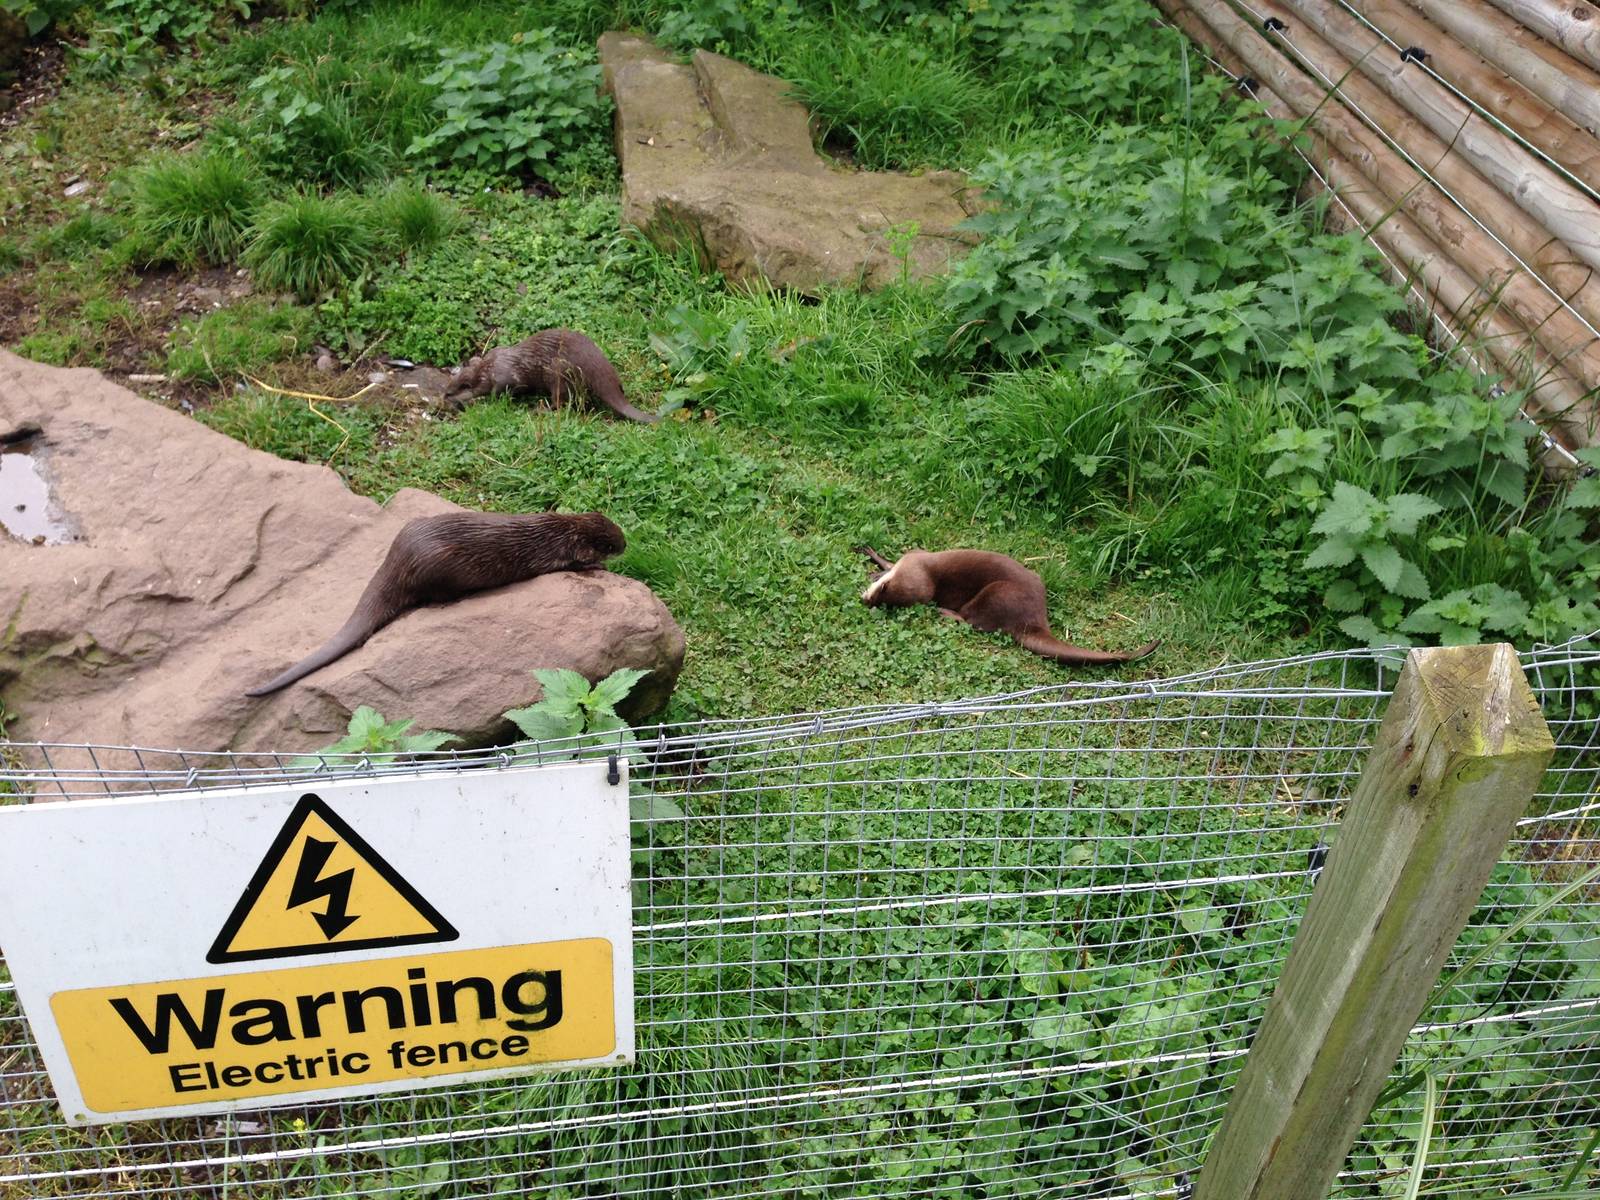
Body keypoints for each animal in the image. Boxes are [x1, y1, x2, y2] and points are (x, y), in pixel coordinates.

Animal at [246, 511, 626, 697]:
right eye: (609, 543)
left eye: (617, 528)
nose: (625, 544)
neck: (558, 530)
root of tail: (396, 561)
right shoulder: (557, 554)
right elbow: (573, 565)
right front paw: (598, 567)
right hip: (440, 567)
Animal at [444, 329, 657, 423]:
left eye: (448, 393)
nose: (443, 398)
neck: (488, 368)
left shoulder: (505, 376)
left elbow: (500, 391)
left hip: (557, 374)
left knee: (561, 403)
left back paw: (539, 410)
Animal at [859, 546, 1159, 667]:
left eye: (881, 596)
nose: (866, 600)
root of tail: (1034, 619)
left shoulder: (916, 558)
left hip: (996, 595)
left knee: (973, 622)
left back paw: (945, 613)